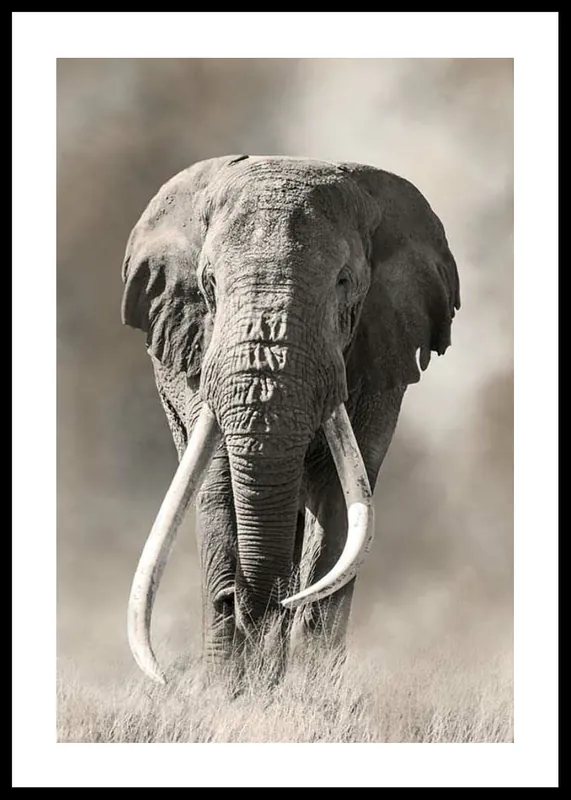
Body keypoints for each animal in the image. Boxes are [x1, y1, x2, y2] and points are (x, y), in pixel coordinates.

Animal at [120, 154, 461, 685]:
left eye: (344, 283)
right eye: (209, 284)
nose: (243, 603)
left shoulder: (380, 354)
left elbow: (341, 501)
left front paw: (308, 684)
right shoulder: (198, 354)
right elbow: (218, 485)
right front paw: (229, 686)